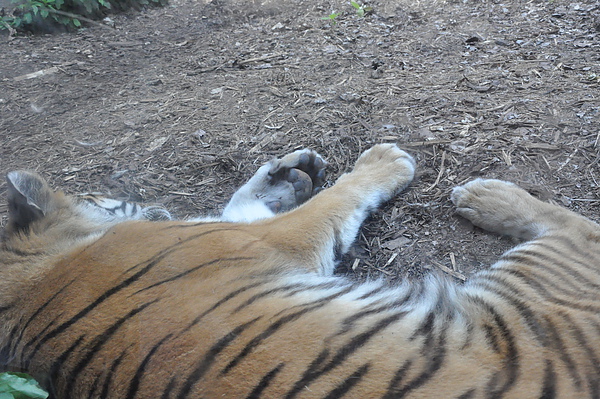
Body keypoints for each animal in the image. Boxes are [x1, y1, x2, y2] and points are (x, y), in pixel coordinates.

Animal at [0, 145, 596, 398]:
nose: (152, 205)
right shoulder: (271, 239)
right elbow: (334, 200)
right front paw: (382, 160)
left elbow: (244, 199)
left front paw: (287, 172)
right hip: (537, 286)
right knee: (576, 228)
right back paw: (484, 195)